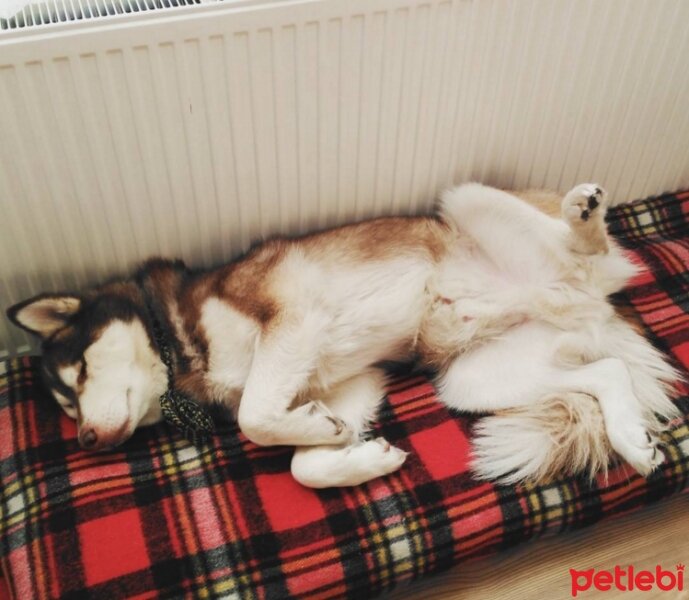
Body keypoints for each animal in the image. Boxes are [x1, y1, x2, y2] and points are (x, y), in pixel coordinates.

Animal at [6, 183, 676, 488]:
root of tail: (585, 299)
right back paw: (631, 439)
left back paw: (582, 217)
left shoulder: (292, 317)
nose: (89, 440)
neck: (175, 340)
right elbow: (304, 461)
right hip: (472, 379)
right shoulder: (347, 384)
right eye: (68, 407)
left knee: (582, 247)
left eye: (79, 372)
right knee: (605, 372)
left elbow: (255, 418)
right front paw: (354, 452)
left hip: (468, 202)